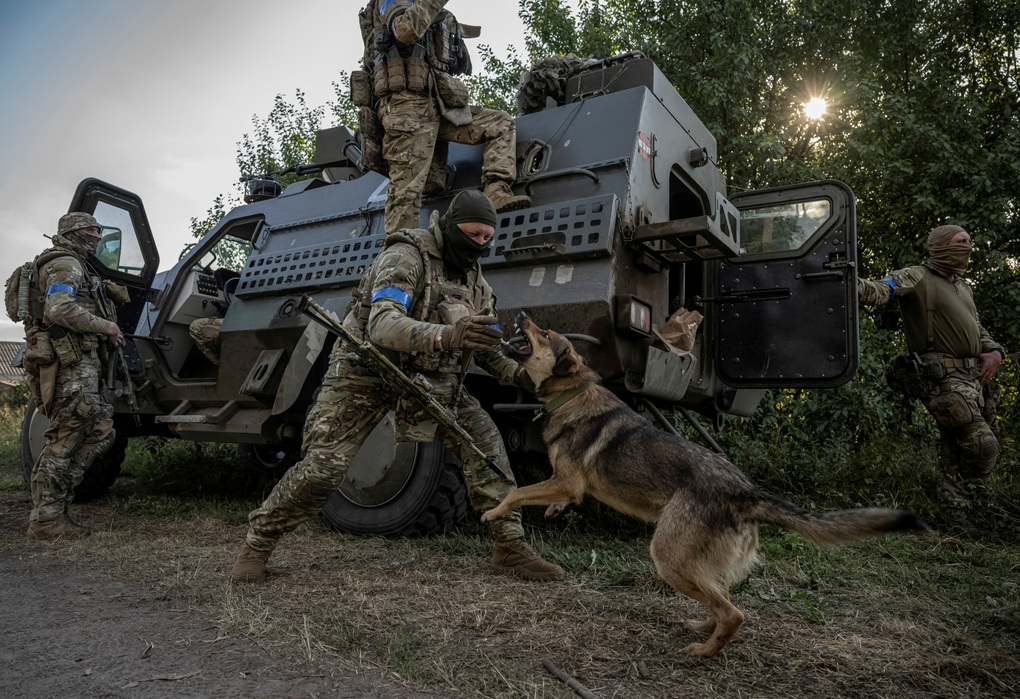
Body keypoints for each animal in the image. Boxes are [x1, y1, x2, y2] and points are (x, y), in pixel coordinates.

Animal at [481, 314, 930, 657]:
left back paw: (705, 651)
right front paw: (552, 510)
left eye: (544, 334)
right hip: (696, 563)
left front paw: (494, 511)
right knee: (723, 599)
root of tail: (747, 492)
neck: (570, 395)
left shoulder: (567, 480)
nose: (522, 316)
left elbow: (516, 491)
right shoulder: (566, 484)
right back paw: (703, 627)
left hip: (668, 556)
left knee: (734, 613)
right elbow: (544, 497)